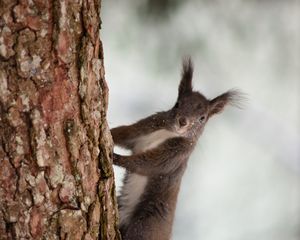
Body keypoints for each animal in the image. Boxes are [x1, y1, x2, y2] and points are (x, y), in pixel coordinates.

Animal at [110, 58, 241, 240]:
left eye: (202, 118)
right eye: (177, 104)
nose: (182, 122)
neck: (168, 132)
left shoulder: (175, 155)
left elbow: (148, 163)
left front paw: (116, 157)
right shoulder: (144, 130)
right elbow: (125, 133)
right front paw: (108, 133)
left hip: (146, 225)